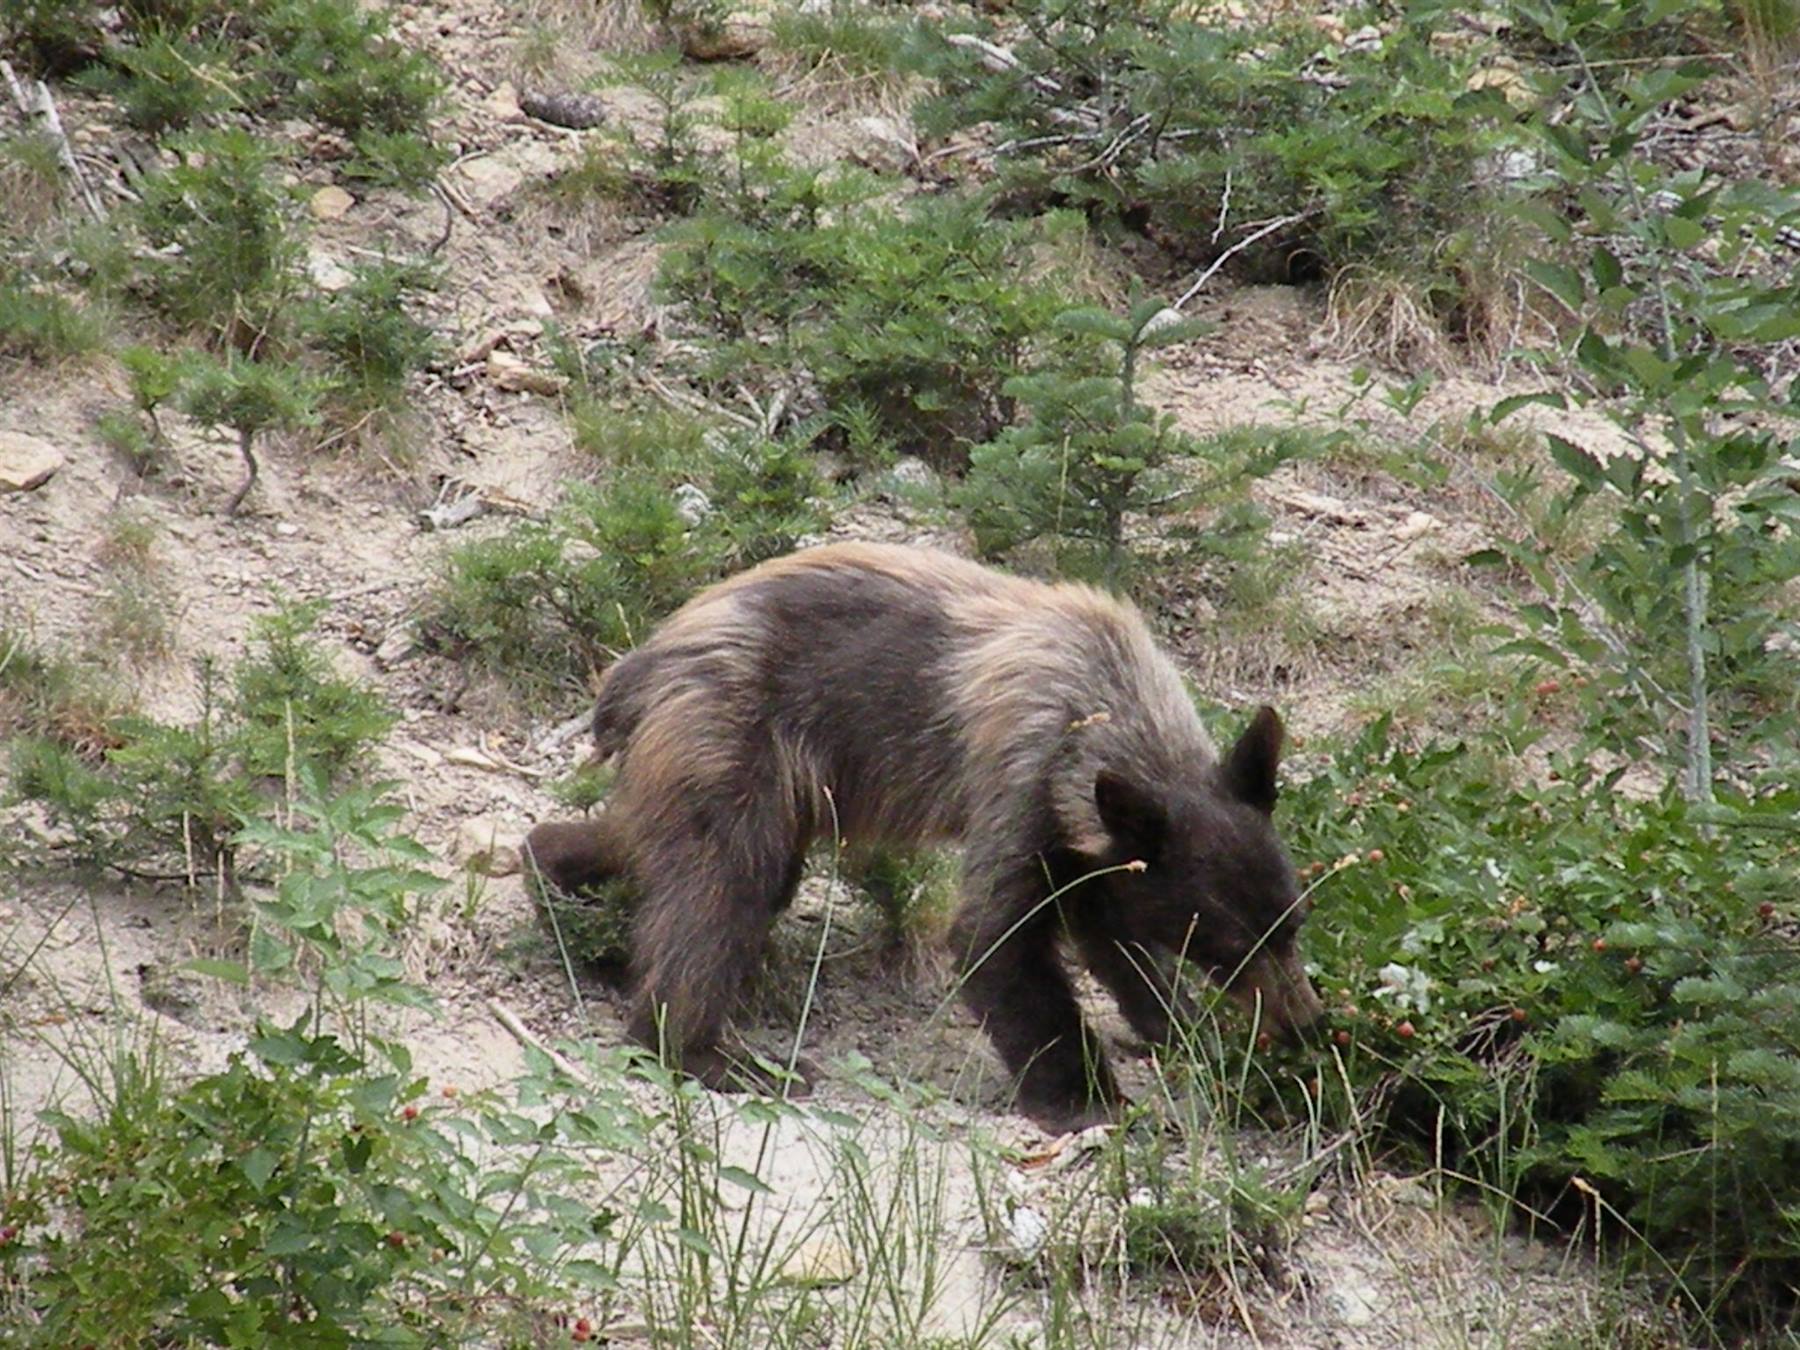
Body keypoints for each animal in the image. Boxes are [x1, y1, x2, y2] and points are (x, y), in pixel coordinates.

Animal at [522, 541, 1324, 1131]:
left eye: (1292, 922)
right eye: (1228, 941)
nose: (1307, 1024)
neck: (1108, 706)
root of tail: (639, 666)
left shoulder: (1087, 838)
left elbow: (1108, 930)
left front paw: (1175, 1024)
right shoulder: (1021, 775)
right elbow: (995, 938)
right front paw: (1084, 1096)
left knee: (675, 852)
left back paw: (556, 880)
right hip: (733, 734)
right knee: (718, 887)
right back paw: (708, 1050)